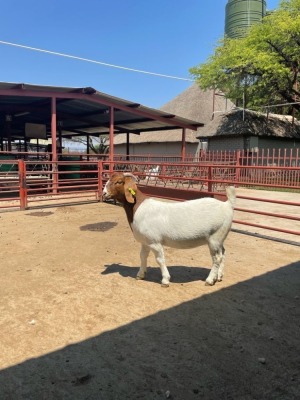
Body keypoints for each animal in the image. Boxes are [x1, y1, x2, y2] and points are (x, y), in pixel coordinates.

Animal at [102, 173, 236, 286]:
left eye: (119, 182)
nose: (103, 193)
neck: (138, 208)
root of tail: (227, 204)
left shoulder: (154, 242)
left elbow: (160, 260)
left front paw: (165, 280)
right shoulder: (145, 242)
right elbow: (142, 257)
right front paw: (140, 275)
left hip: (215, 237)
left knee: (217, 258)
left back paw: (210, 280)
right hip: (220, 238)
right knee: (223, 254)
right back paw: (219, 276)